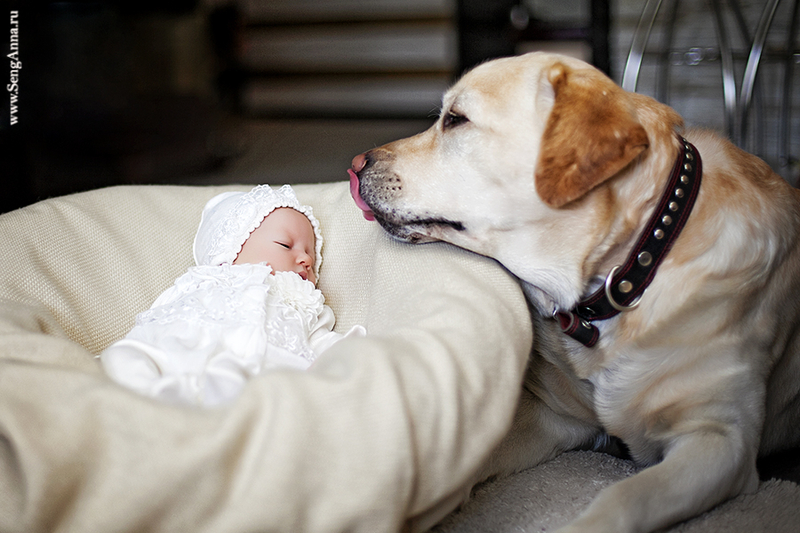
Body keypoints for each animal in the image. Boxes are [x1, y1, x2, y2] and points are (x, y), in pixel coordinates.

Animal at [348, 52, 800, 532]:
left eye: (456, 119)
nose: (354, 165)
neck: (635, 266)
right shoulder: (552, 414)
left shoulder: (720, 438)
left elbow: (626, 496)